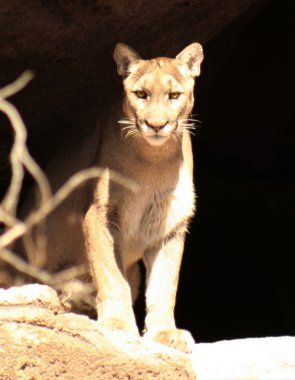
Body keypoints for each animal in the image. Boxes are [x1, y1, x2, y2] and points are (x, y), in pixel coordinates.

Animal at [23, 42, 205, 354]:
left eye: (174, 96)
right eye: (141, 94)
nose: (157, 125)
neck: (154, 159)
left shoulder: (171, 224)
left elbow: (165, 285)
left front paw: (165, 333)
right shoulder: (101, 214)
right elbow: (111, 275)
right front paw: (118, 326)